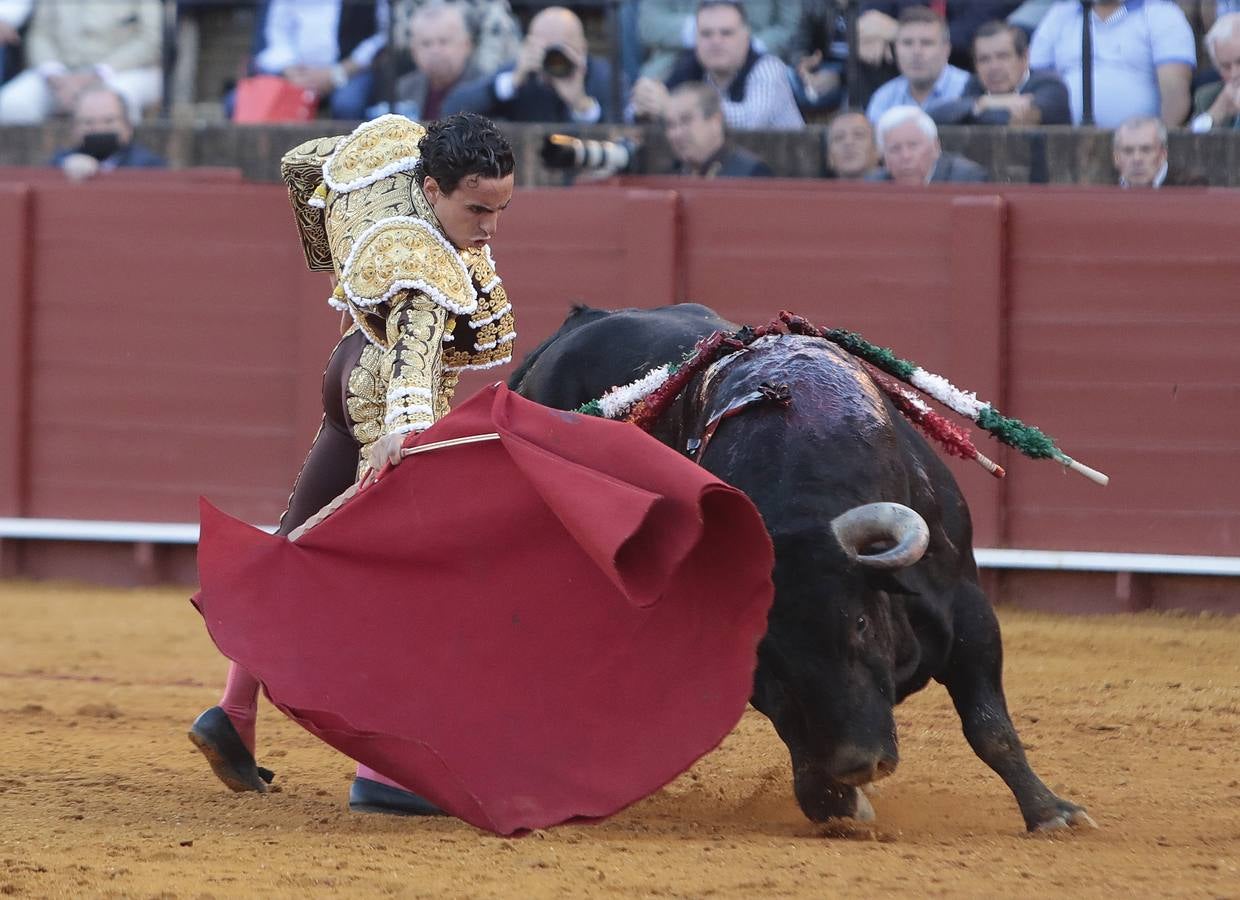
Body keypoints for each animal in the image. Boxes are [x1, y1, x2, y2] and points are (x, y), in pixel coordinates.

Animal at [505, 303, 1096, 833]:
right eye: (772, 648)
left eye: (860, 622)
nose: (860, 764)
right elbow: (796, 727)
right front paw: (836, 804)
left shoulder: (969, 610)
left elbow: (989, 725)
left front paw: (1052, 813)